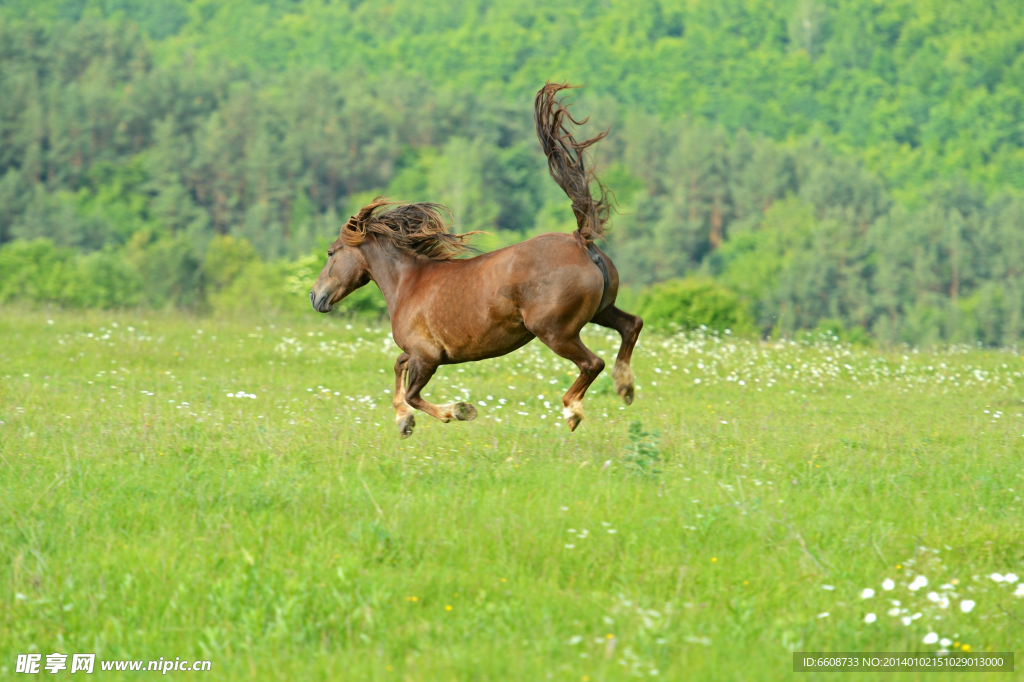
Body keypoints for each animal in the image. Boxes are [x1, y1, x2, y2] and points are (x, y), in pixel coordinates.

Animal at [309, 83, 638, 436]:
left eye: (331, 252)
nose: (315, 297)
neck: (407, 284)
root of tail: (580, 240)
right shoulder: (419, 353)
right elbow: (398, 367)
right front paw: (403, 421)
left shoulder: (427, 356)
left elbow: (412, 392)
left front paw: (457, 410)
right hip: (600, 311)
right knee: (631, 325)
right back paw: (625, 386)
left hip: (555, 332)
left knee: (593, 362)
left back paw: (572, 409)